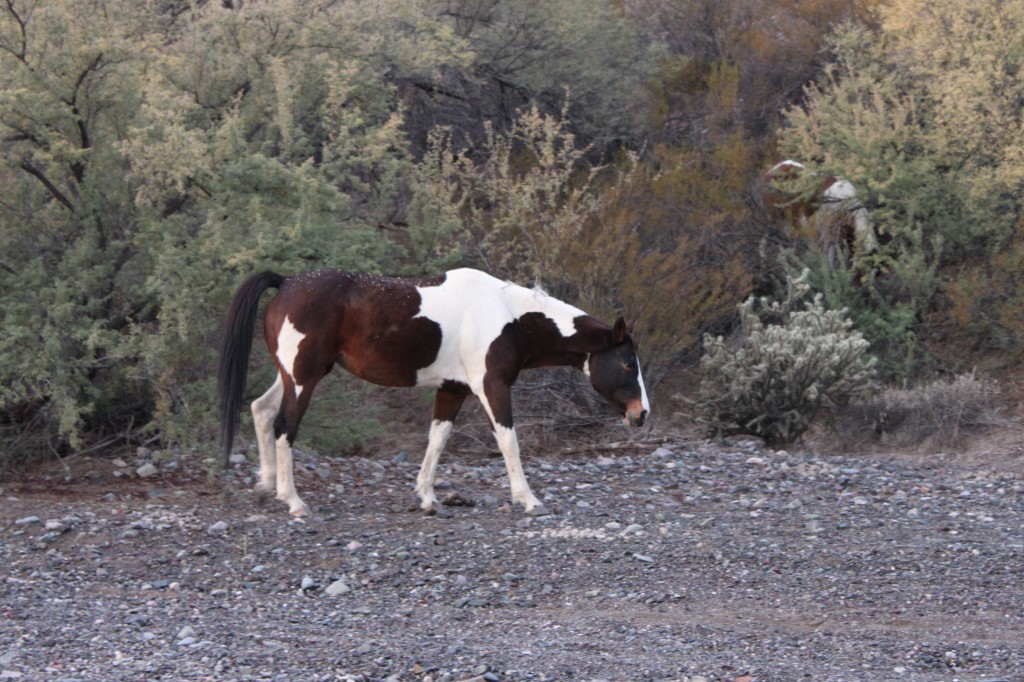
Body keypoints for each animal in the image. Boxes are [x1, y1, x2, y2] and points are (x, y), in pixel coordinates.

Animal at [218, 266, 647, 516]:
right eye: (628, 362)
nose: (641, 414)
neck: (507, 314)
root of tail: (287, 283)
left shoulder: (453, 389)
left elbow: (437, 439)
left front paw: (426, 496)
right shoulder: (492, 387)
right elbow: (508, 441)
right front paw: (527, 499)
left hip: (293, 374)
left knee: (260, 410)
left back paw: (266, 486)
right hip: (304, 378)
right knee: (284, 427)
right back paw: (293, 501)